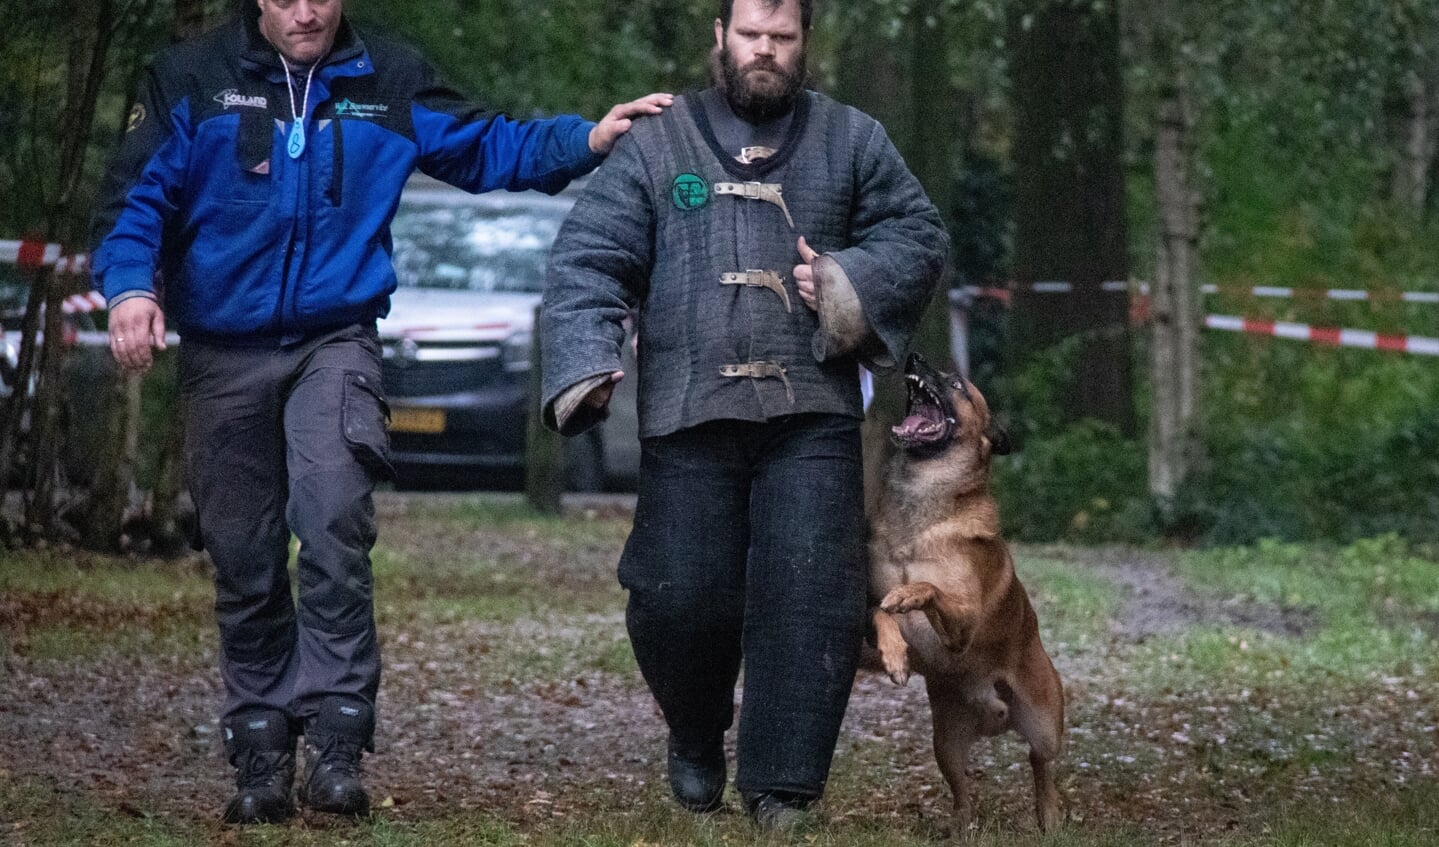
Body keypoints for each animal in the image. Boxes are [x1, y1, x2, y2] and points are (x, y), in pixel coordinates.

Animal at [869, 352, 1064, 834]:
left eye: (957, 383)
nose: (913, 356)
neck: (920, 509)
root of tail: (990, 711)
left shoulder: (965, 623)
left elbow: (928, 587)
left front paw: (908, 597)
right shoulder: (868, 600)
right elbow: (879, 610)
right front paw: (895, 655)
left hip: (1044, 723)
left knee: (1039, 761)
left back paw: (1049, 813)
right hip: (946, 742)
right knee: (962, 792)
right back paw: (959, 826)